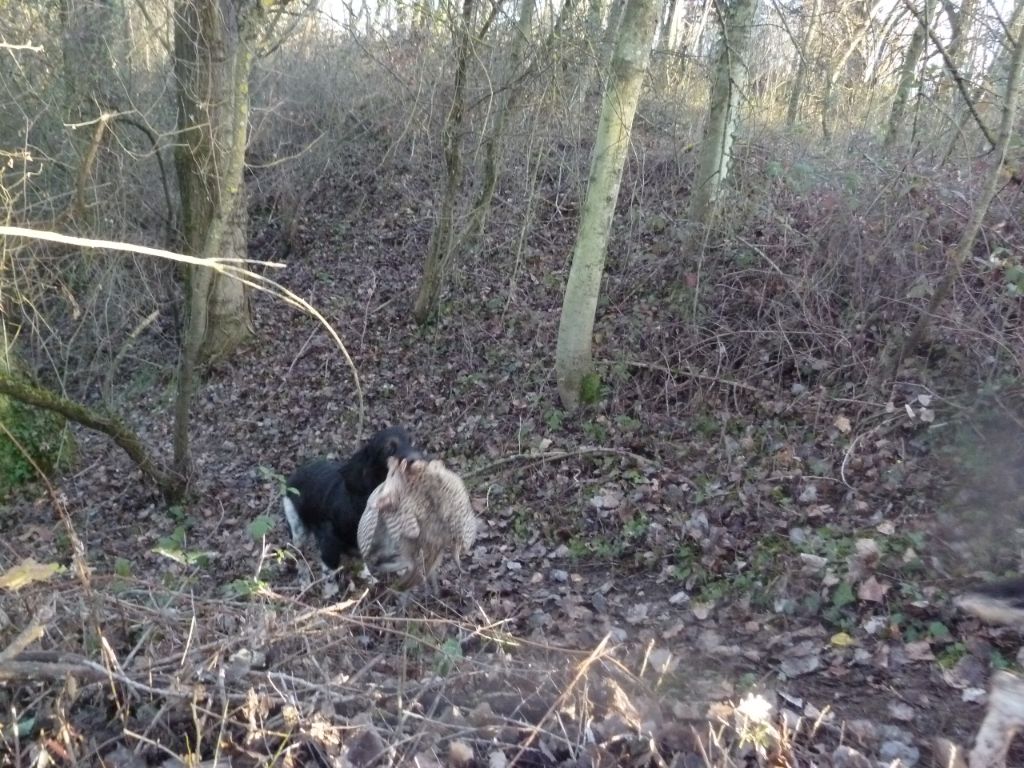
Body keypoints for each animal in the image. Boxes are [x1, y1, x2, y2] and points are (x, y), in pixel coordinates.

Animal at [282, 426, 422, 596]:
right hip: (298, 531)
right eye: (388, 448)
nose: (419, 461)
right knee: (299, 556)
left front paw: (369, 578)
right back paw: (304, 581)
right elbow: (330, 571)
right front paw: (330, 593)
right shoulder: (329, 541)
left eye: (411, 441)